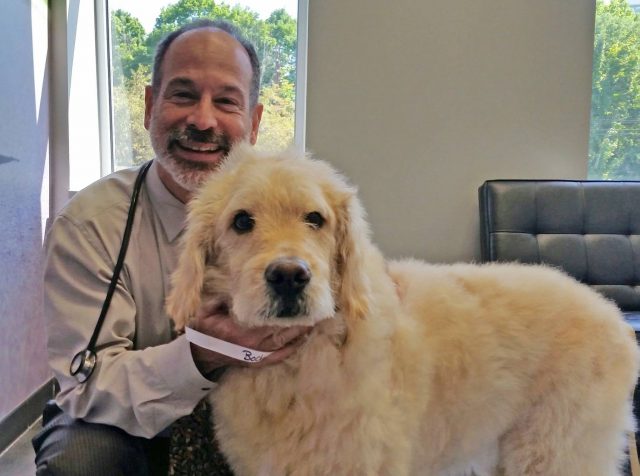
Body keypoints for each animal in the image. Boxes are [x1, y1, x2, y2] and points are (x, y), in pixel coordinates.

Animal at [166, 145, 640, 476]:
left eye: (315, 219)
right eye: (242, 221)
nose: (289, 276)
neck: (299, 366)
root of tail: (609, 312)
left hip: (555, 450)